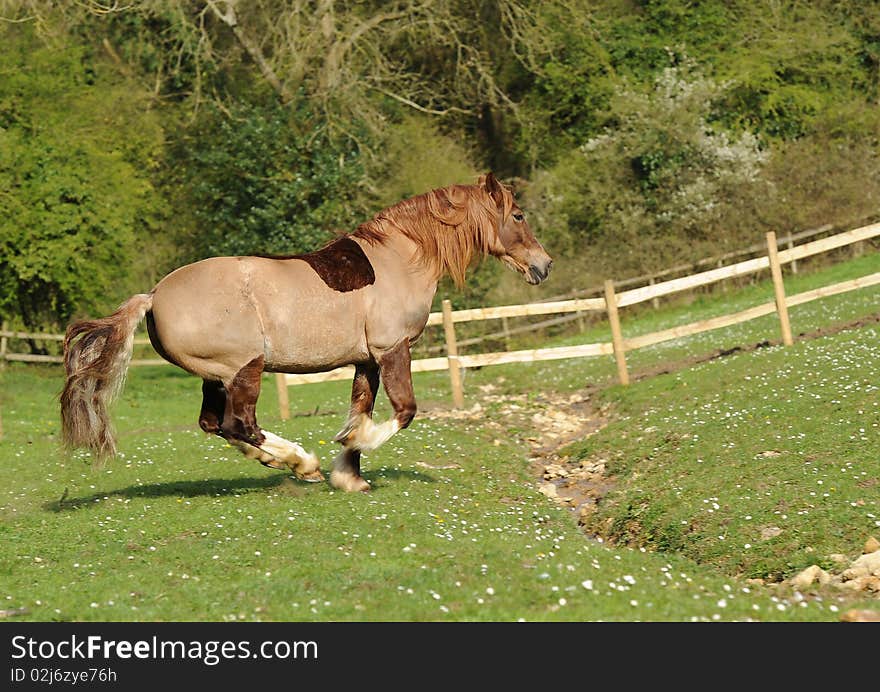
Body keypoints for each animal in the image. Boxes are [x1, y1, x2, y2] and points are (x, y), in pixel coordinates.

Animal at [62, 172, 552, 492]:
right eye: (519, 215)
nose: (543, 266)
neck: (401, 259)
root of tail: (154, 295)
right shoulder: (393, 349)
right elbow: (403, 411)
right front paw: (350, 450)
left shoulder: (366, 361)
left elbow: (360, 409)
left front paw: (349, 475)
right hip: (244, 368)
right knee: (238, 424)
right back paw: (303, 462)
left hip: (215, 376)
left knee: (215, 425)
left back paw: (288, 463)